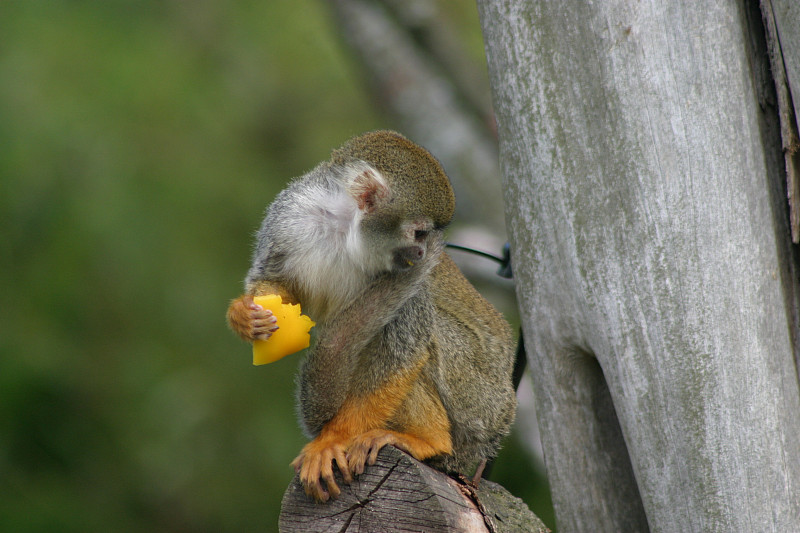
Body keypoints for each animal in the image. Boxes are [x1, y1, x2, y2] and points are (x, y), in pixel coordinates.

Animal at [227, 131, 512, 500]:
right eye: (420, 233)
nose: (423, 253)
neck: (344, 227)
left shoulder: (406, 277)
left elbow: (403, 346)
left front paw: (334, 437)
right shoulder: (290, 214)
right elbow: (277, 284)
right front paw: (245, 316)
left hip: (477, 399)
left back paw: (429, 442)